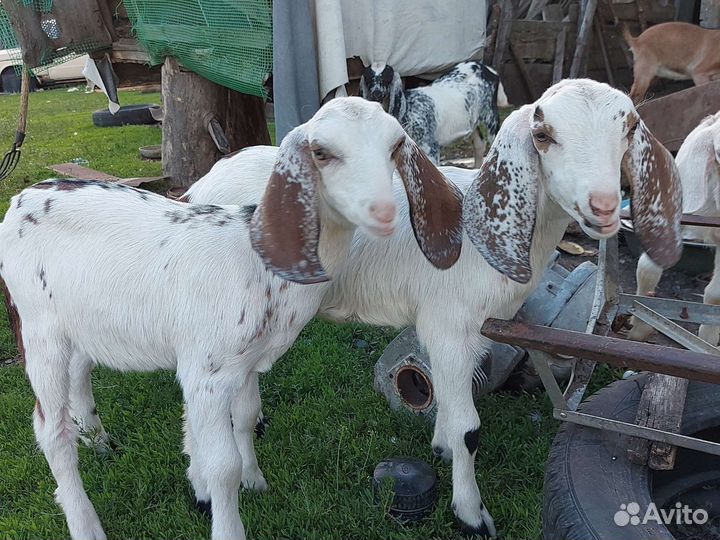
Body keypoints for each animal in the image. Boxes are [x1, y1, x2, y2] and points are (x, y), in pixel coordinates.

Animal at [0, 97, 464, 540]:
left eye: (395, 145)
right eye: (321, 152)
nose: (384, 212)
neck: (255, 260)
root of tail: (21, 199)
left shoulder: (247, 363)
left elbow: (246, 416)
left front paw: (254, 481)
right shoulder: (204, 373)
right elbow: (221, 465)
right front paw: (226, 522)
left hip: (78, 323)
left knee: (80, 373)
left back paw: (99, 442)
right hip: (38, 331)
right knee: (51, 432)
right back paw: (85, 523)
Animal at [75, 79, 679, 537]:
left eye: (628, 129)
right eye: (544, 134)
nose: (605, 207)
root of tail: (203, 182)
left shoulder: (464, 330)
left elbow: (449, 410)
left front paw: (440, 448)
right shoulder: (449, 323)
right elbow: (469, 429)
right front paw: (471, 513)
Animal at [360, 61, 502, 167]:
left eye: (387, 77)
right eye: (368, 78)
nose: (376, 94)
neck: (408, 109)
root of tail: (488, 69)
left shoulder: (430, 148)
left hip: (491, 117)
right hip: (472, 123)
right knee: (479, 143)